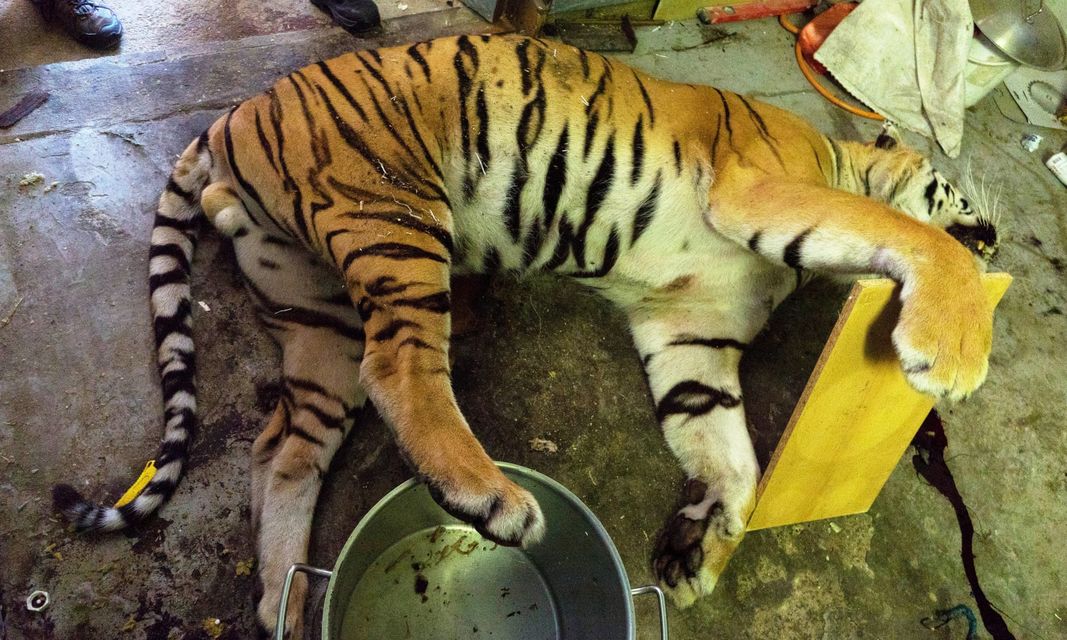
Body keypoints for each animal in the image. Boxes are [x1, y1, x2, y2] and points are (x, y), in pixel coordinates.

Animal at [50, 33, 999, 637]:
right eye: (961, 192)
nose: (996, 232)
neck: (837, 155)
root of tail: (227, 118)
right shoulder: (762, 190)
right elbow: (910, 234)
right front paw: (954, 349)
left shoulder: (690, 332)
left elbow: (733, 461)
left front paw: (699, 558)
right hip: (392, 212)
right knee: (400, 367)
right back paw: (494, 502)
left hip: (317, 309)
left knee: (283, 445)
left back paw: (283, 603)